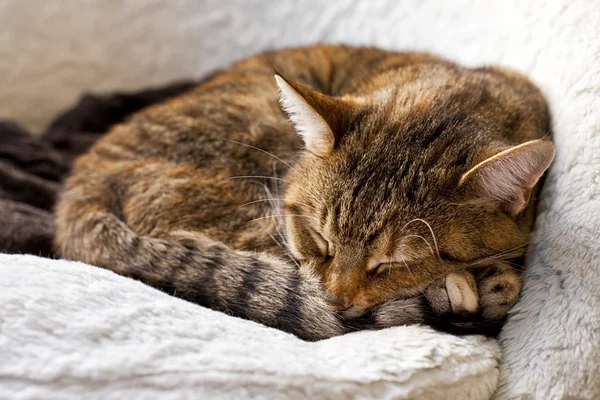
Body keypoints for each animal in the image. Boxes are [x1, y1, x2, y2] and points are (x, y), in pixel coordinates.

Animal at [54, 44, 556, 340]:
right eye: (320, 239)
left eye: (393, 263)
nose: (334, 301)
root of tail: (85, 180)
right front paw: (466, 287)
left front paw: (494, 282)